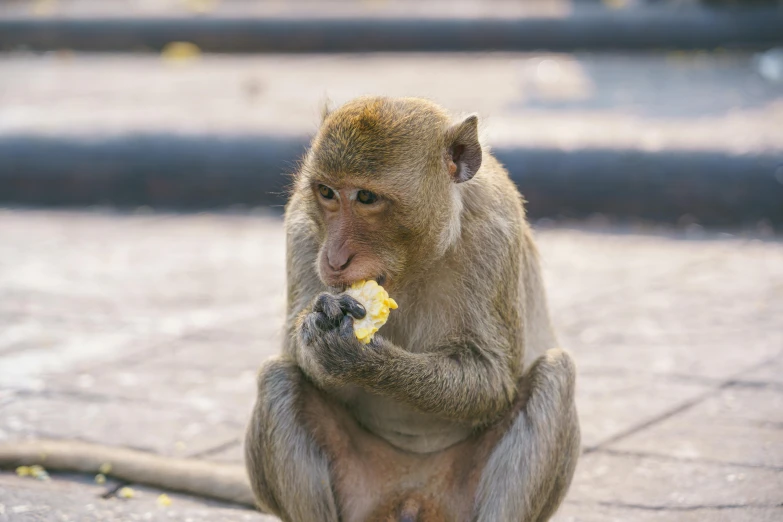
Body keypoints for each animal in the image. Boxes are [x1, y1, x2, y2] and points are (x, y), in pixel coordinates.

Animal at [0, 94, 576, 520]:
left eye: (367, 198)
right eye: (326, 192)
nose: (335, 257)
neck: (416, 260)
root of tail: (408, 498)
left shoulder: (495, 231)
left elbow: (491, 378)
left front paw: (362, 358)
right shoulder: (302, 223)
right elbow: (292, 352)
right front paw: (319, 335)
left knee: (554, 375)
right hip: (361, 491)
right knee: (277, 378)